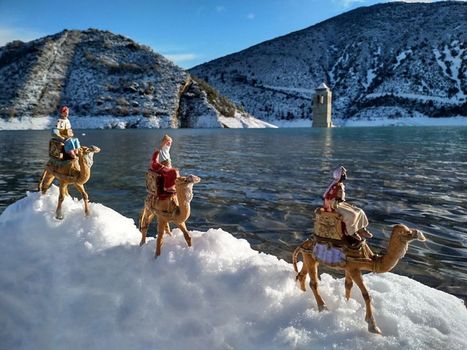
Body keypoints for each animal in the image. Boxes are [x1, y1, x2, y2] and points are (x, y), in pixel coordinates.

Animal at [294, 224, 426, 334]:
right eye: (407, 232)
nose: (418, 233)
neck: (371, 259)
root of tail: (303, 243)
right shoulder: (354, 269)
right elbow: (366, 294)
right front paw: (373, 327)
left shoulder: (348, 268)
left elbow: (348, 285)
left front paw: (347, 303)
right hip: (310, 258)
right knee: (313, 283)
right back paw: (323, 307)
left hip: (308, 257)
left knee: (301, 275)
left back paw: (303, 293)